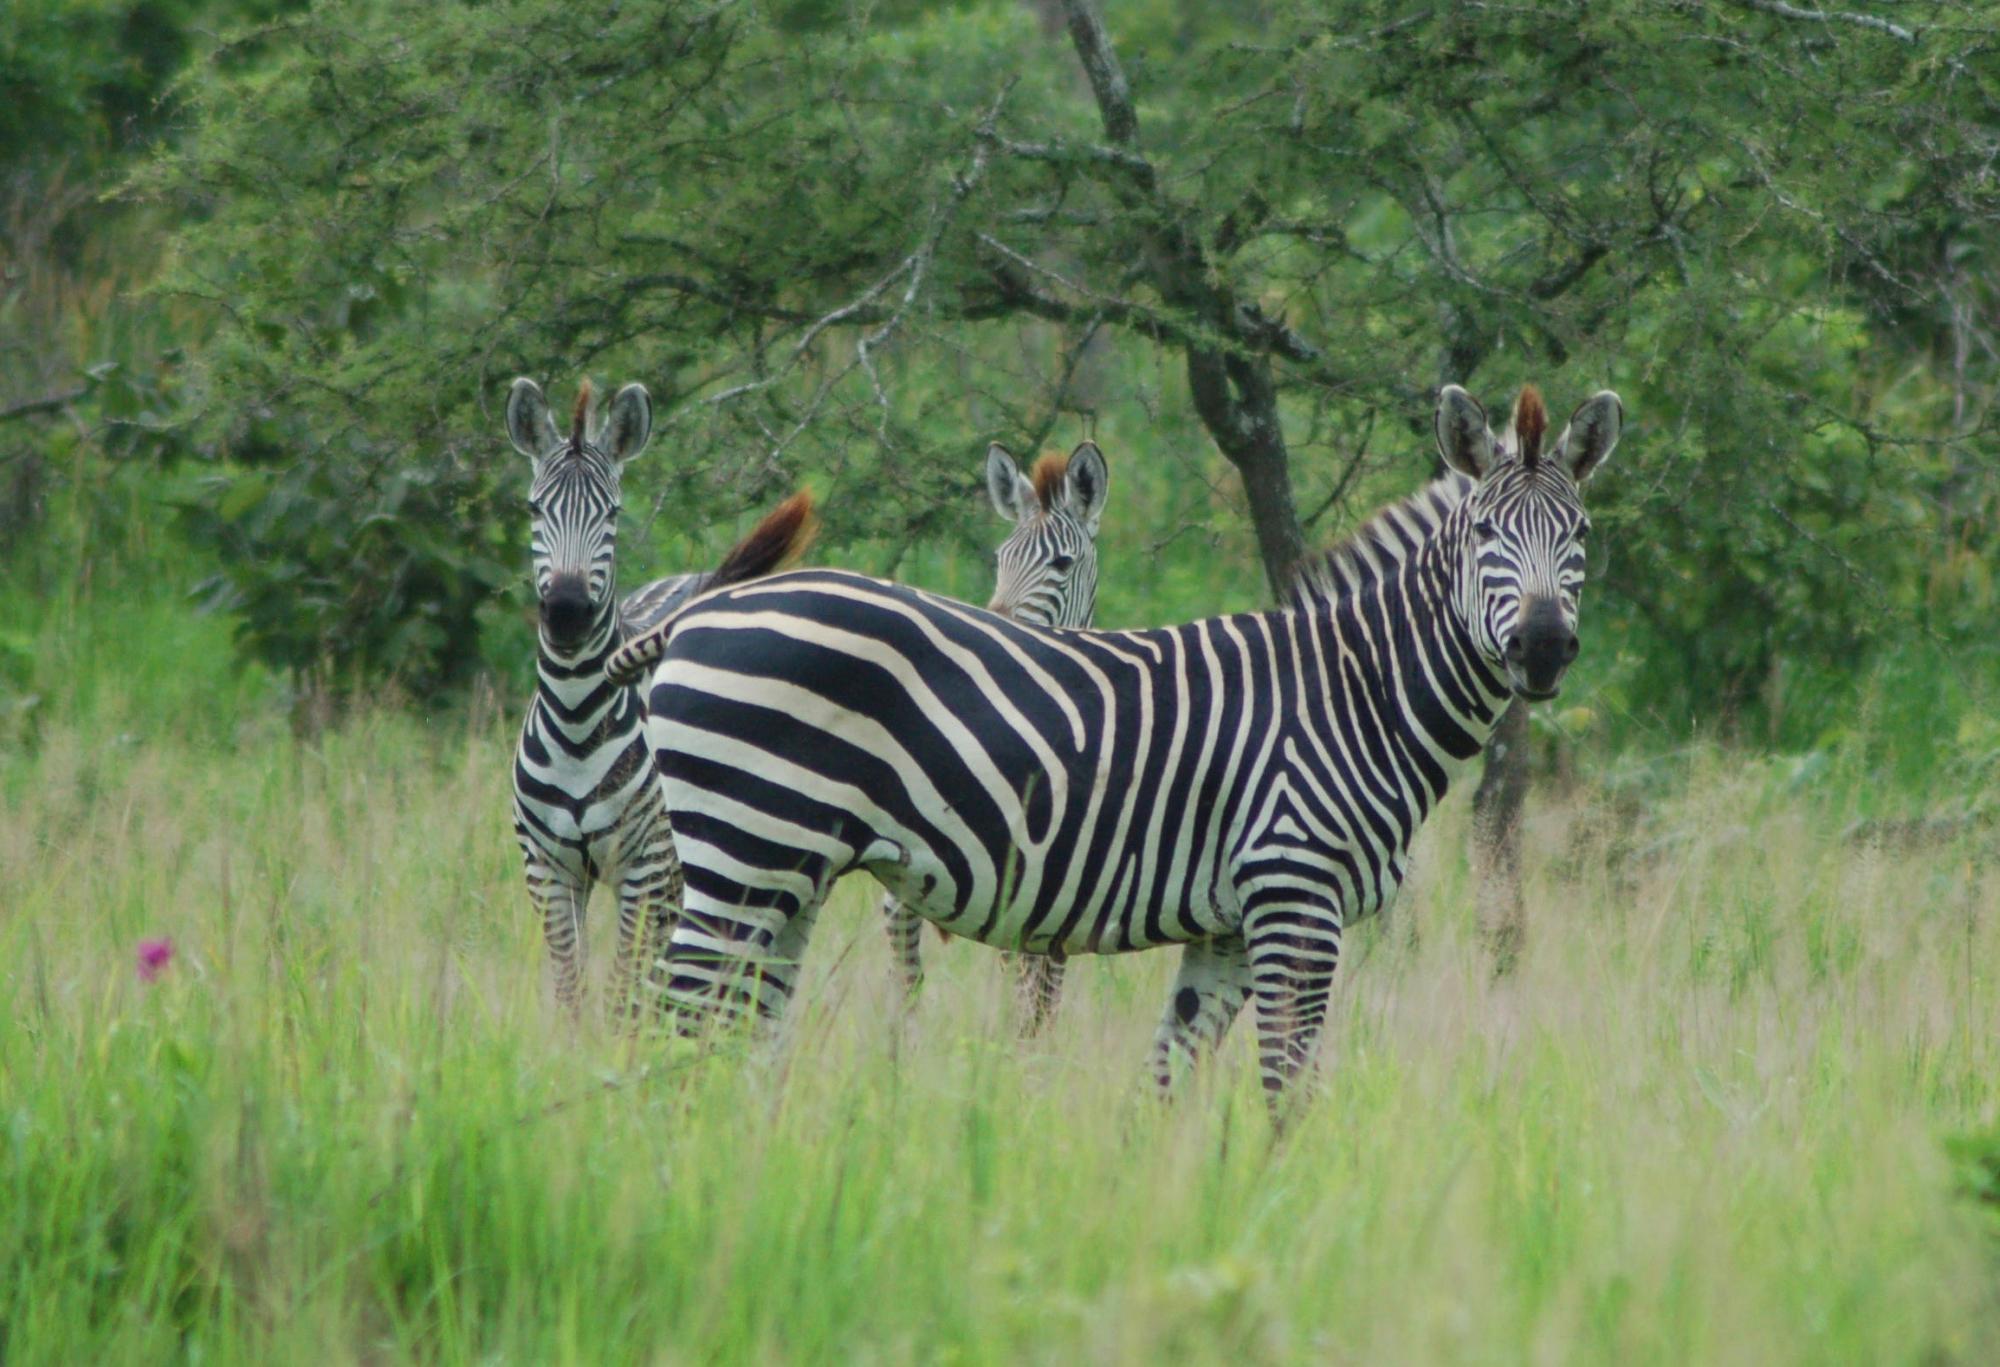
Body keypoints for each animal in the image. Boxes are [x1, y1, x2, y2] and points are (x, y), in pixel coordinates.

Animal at [505, 376, 816, 1021]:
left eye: (613, 513)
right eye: (534, 509)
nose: (567, 612)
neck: (575, 723)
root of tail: (700, 583)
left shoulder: (644, 870)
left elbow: (623, 993)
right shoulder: (547, 871)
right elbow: (571, 993)